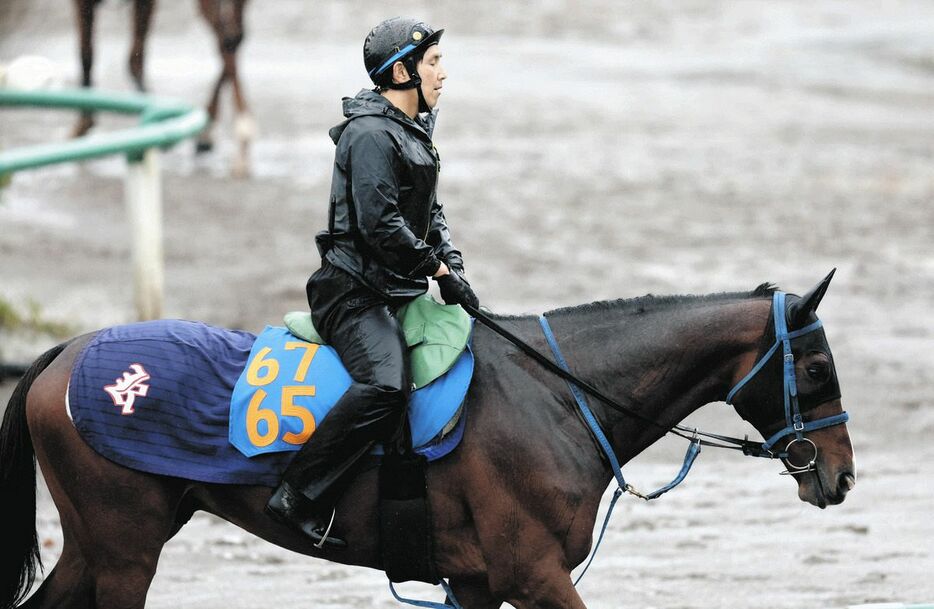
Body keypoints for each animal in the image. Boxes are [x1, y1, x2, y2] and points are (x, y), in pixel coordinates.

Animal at [3, 274, 860, 604]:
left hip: (100, 545)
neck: (559, 393)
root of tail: (64, 353)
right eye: (817, 366)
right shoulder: (532, 572)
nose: (840, 473)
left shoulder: (477, 580)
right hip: (125, 550)